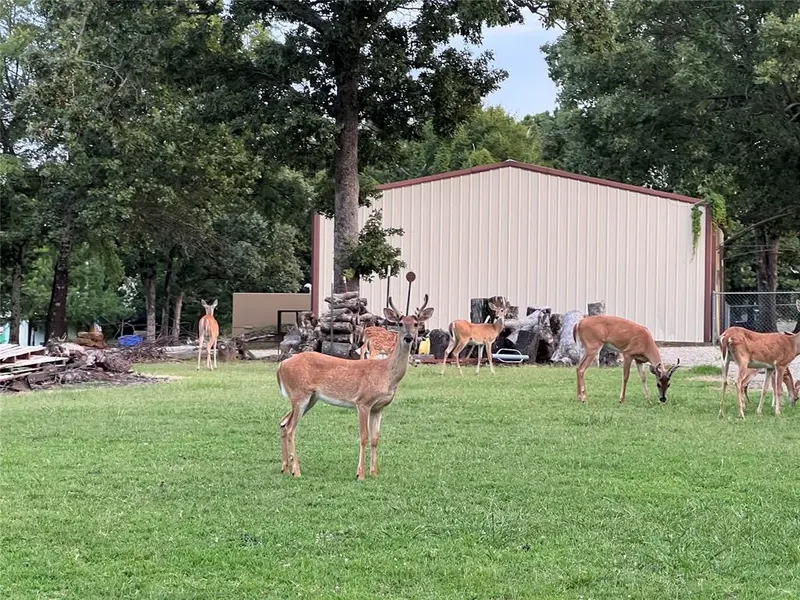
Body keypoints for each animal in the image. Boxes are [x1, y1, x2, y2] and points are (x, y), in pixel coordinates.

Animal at [276, 295, 433, 480]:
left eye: (415, 323)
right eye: (400, 323)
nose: (408, 337)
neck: (386, 373)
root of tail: (281, 366)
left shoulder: (378, 407)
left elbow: (375, 438)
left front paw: (374, 472)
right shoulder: (363, 402)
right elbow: (364, 437)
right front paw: (360, 474)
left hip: (310, 398)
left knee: (284, 423)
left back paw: (285, 468)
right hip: (300, 394)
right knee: (291, 428)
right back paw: (296, 470)